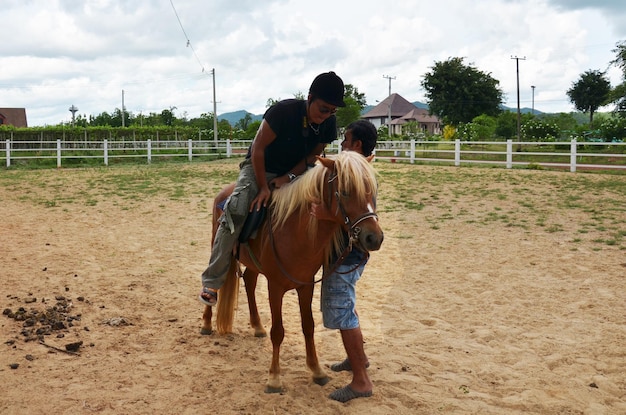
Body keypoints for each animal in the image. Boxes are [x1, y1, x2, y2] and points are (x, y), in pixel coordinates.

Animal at [202, 152, 382, 394]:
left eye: (372, 190)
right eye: (345, 191)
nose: (374, 238)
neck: (295, 232)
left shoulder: (306, 286)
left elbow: (309, 326)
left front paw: (317, 371)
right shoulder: (275, 287)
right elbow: (278, 331)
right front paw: (274, 378)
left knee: (249, 281)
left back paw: (257, 326)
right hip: (218, 243)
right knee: (214, 275)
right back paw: (206, 322)